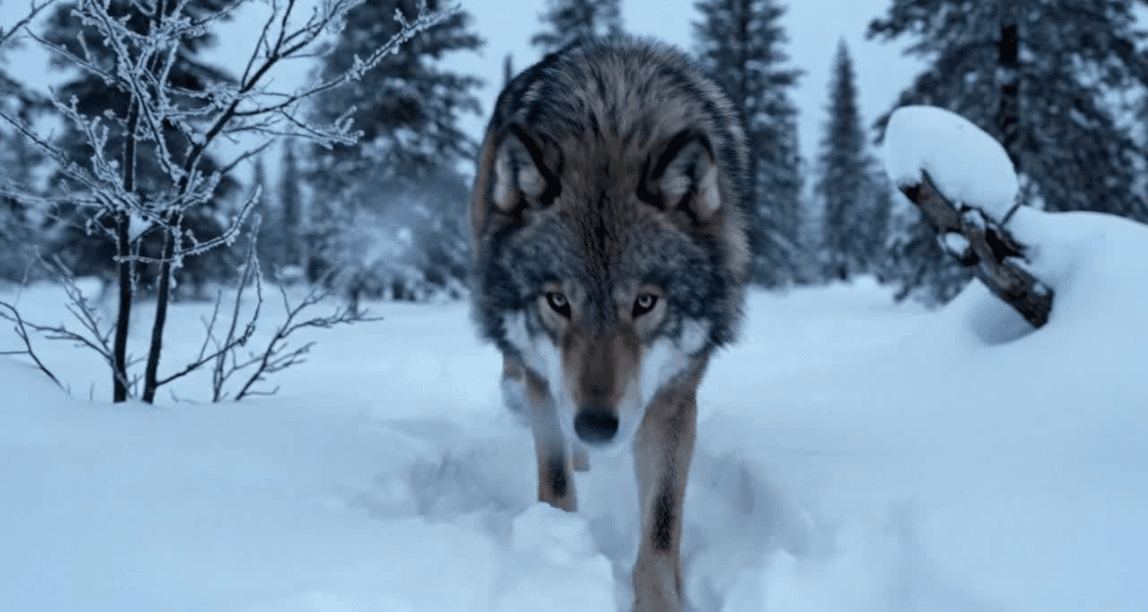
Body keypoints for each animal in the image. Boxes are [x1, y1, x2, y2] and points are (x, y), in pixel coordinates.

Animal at [469, 36, 751, 612]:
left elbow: (662, 523)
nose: (597, 424)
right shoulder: (544, 376)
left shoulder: (673, 396)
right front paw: (558, 560)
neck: (612, 123)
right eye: (558, 301)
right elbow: (554, 478)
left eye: (644, 303)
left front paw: (662, 600)